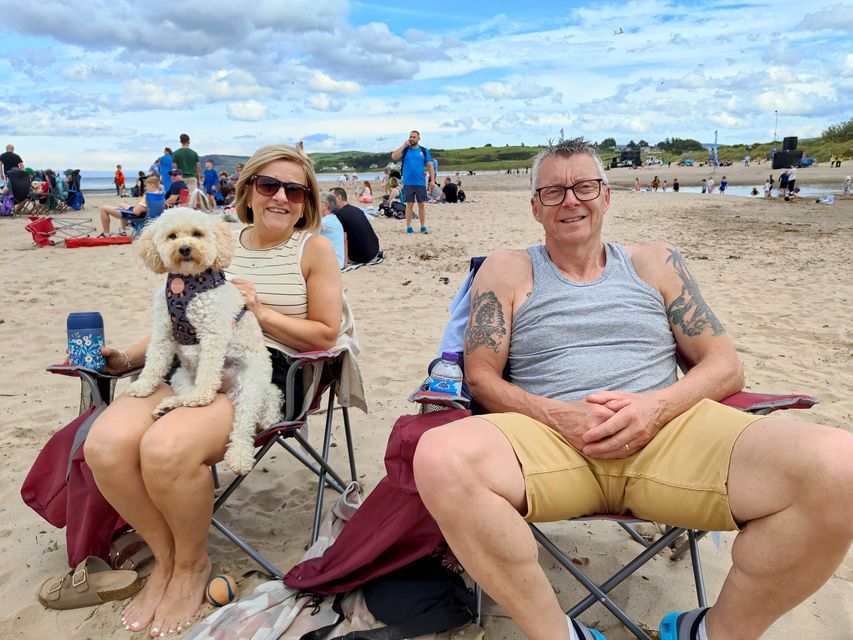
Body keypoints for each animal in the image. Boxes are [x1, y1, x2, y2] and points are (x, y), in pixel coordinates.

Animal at [128, 208, 282, 472]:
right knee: (186, 395)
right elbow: (154, 362)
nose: (185, 248)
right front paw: (143, 386)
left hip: (250, 383)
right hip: (180, 376)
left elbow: (209, 369)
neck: (185, 284)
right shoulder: (163, 331)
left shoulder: (213, 334)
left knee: (244, 423)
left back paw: (239, 455)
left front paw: (203, 395)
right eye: (172, 236)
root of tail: (225, 390)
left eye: (197, 234)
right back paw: (170, 405)